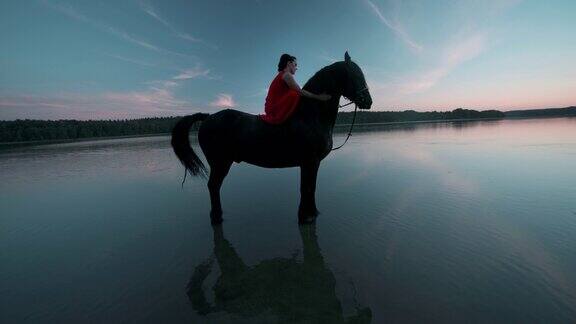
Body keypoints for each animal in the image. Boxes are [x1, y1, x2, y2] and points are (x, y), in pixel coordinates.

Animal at [171, 52, 374, 224]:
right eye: (355, 75)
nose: (368, 101)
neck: (310, 115)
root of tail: (207, 117)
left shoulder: (312, 163)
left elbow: (311, 187)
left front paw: (312, 213)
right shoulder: (310, 161)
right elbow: (307, 187)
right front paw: (305, 216)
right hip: (220, 163)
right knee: (213, 186)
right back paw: (216, 217)